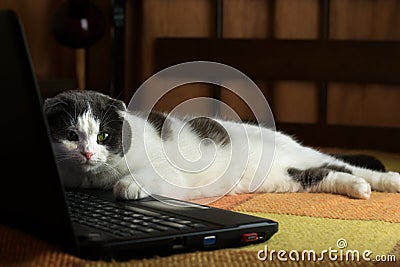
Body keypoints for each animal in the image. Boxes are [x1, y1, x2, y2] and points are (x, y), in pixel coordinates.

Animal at [43, 89, 400, 202]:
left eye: (103, 136)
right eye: (72, 136)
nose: (88, 152)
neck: (93, 179)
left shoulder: (170, 173)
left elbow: (142, 177)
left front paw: (127, 185)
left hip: (300, 154)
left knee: (344, 164)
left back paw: (389, 181)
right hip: (288, 178)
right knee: (328, 172)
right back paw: (360, 188)